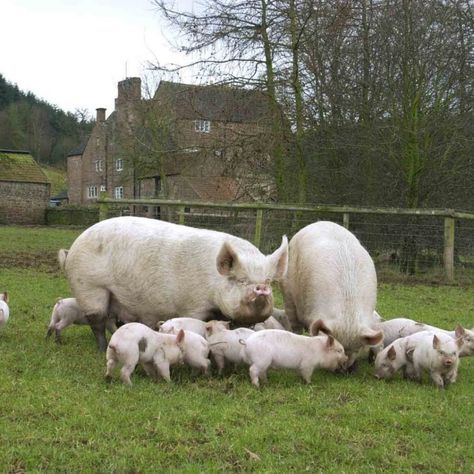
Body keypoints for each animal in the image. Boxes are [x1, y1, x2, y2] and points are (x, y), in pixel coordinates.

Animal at [61, 217, 286, 350]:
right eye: (241, 280)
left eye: (268, 280)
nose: (262, 289)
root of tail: (71, 249)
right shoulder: (193, 306)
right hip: (89, 288)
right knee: (97, 322)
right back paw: (101, 348)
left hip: (112, 297)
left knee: (110, 320)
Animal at [282, 220, 382, 368]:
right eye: (334, 345)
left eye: (357, 348)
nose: (344, 366)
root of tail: (320, 222)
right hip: (288, 289)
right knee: (294, 323)